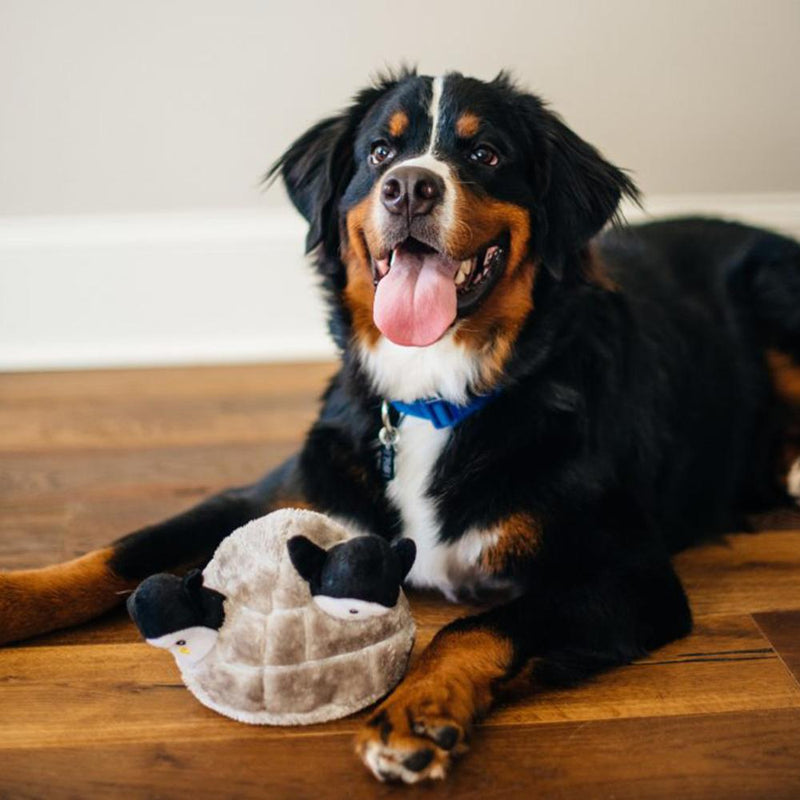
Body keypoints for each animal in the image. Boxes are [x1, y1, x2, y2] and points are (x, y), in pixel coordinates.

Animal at [1, 69, 800, 780]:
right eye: (381, 151)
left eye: (485, 154)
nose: (411, 185)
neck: (433, 395)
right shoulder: (280, 491)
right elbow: (121, 550)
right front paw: (15, 594)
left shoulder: (629, 571)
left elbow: (477, 625)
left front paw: (416, 713)